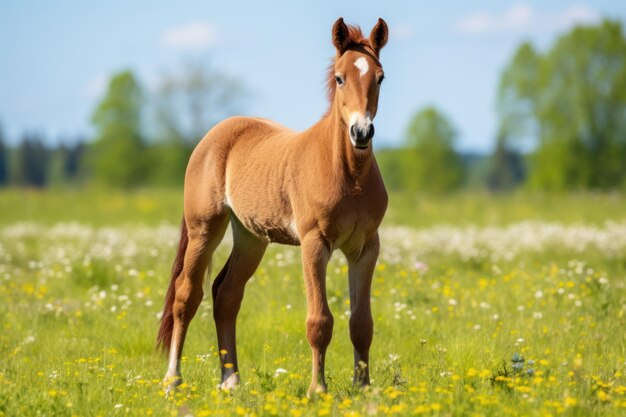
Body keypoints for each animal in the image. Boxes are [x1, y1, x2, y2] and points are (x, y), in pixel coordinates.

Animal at [157, 17, 386, 396]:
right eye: (340, 78)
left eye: (380, 77)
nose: (361, 132)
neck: (349, 175)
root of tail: (213, 135)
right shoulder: (314, 243)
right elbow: (319, 321)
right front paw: (317, 390)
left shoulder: (366, 248)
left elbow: (362, 323)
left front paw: (364, 387)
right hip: (204, 229)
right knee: (186, 297)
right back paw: (172, 381)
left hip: (251, 238)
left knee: (226, 294)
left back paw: (231, 381)